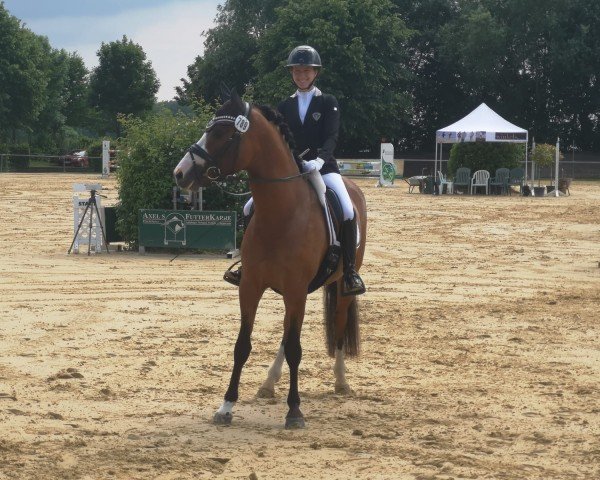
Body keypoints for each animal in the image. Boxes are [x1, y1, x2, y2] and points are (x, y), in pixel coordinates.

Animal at [175, 92, 366, 430]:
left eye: (221, 134)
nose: (180, 173)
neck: (281, 213)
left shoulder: (295, 290)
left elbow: (295, 349)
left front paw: (295, 411)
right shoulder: (251, 286)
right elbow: (243, 345)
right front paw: (226, 406)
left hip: (340, 288)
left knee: (338, 324)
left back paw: (341, 381)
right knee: (287, 335)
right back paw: (268, 382)